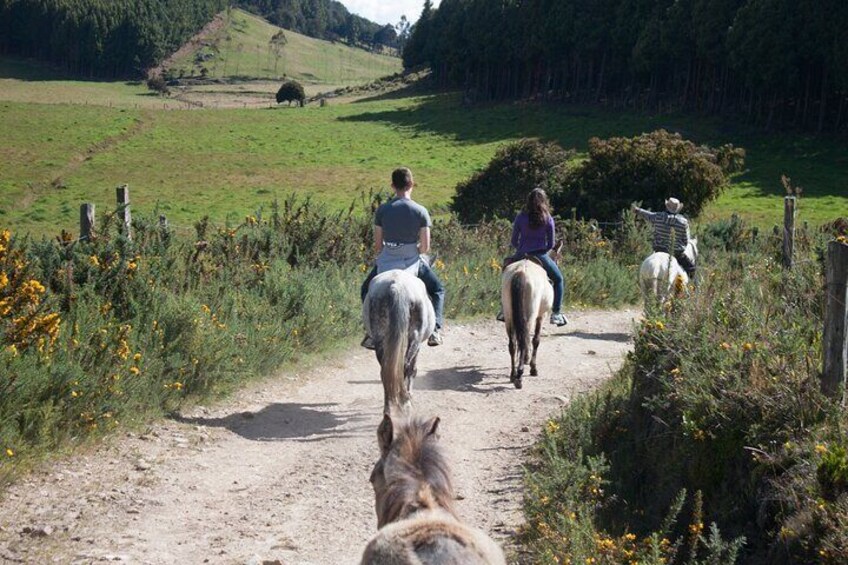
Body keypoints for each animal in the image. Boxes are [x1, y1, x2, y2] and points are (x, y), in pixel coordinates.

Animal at [362, 268, 434, 414]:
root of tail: (396, 287)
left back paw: (389, 406)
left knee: (385, 370)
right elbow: (413, 370)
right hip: (415, 337)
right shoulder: (418, 346)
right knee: (405, 368)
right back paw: (405, 403)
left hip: (380, 338)